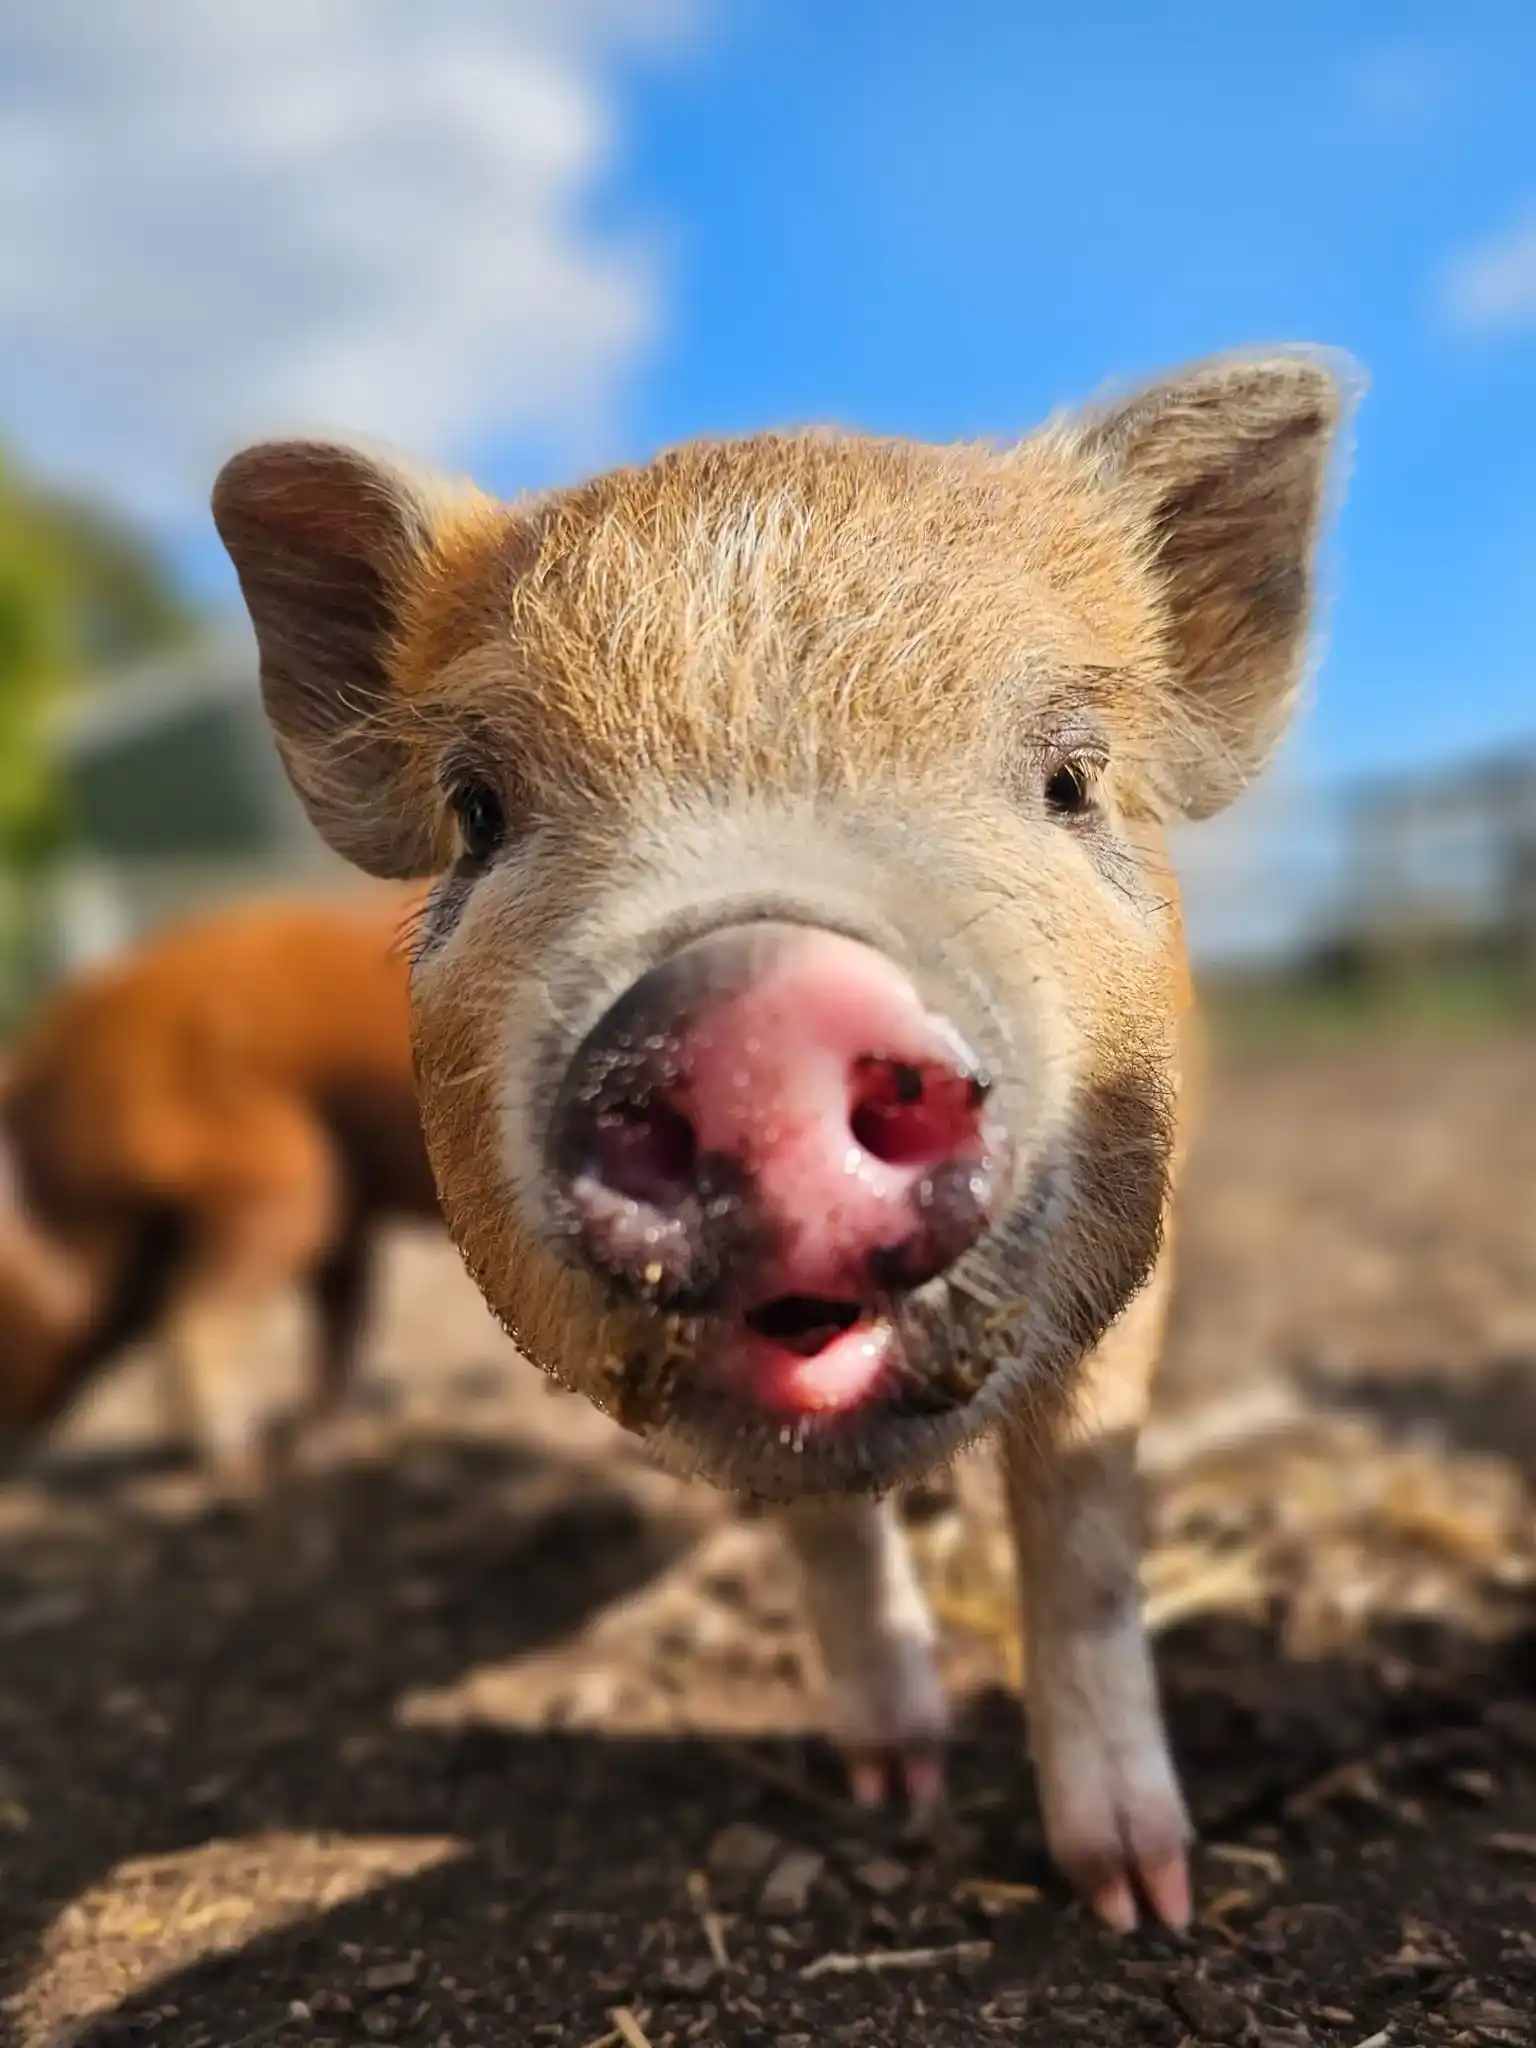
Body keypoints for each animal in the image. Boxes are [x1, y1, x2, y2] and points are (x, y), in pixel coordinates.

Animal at [0, 889, 439, 1483]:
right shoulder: (347, 1206)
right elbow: (343, 1317)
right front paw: (314, 1450)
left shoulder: (279, 1179)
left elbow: (203, 1319)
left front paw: (248, 1464)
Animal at [213, 347, 1354, 1929]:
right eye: (478, 810)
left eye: (1069, 778)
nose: (760, 1011)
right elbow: (821, 1528)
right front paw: (894, 1779)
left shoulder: (1137, 1257)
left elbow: (1079, 1537)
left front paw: (1142, 1899)